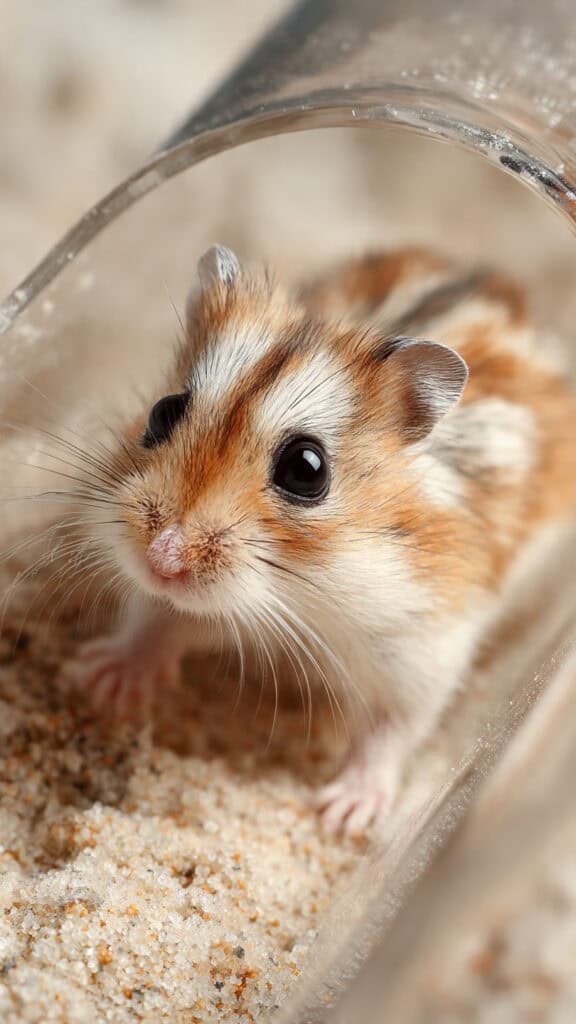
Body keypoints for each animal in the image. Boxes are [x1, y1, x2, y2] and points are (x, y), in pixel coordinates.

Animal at [75, 243, 576, 835]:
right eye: (162, 412)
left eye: (306, 469)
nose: (160, 559)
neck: (300, 593)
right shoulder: (174, 604)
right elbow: (151, 623)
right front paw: (101, 681)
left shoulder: (420, 649)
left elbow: (390, 730)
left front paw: (341, 816)